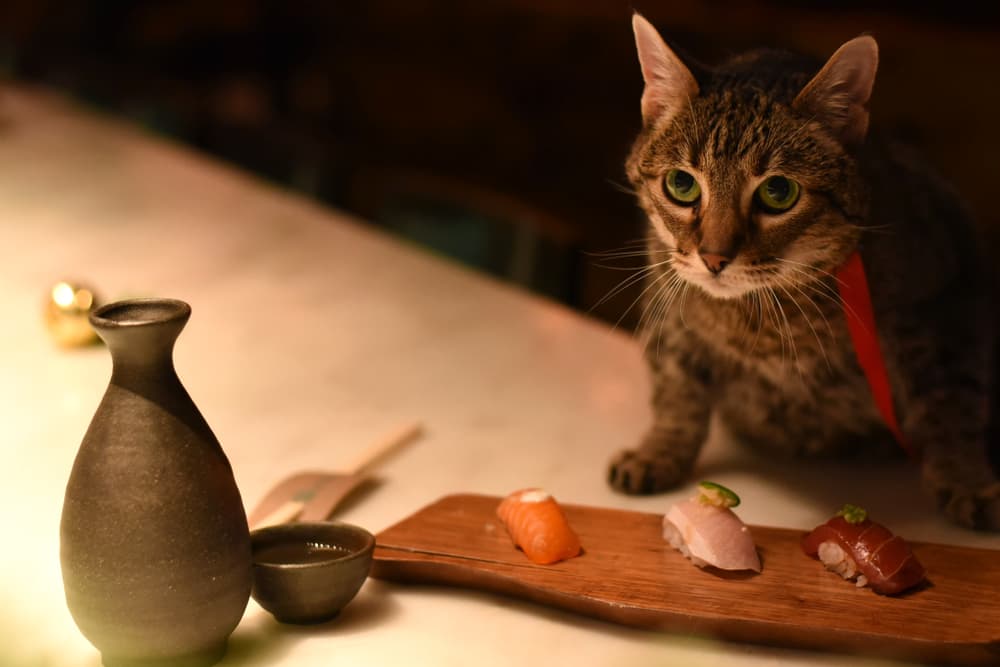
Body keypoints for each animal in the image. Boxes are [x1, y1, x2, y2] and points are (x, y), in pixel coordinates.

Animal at [608, 13, 1000, 528]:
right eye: (681, 184)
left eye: (778, 193)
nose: (713, 258)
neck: (758, 317)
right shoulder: (668, 308)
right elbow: (677, 392)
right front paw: (659, 451)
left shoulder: (948, 313)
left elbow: (951, 406)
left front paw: (966, 479)